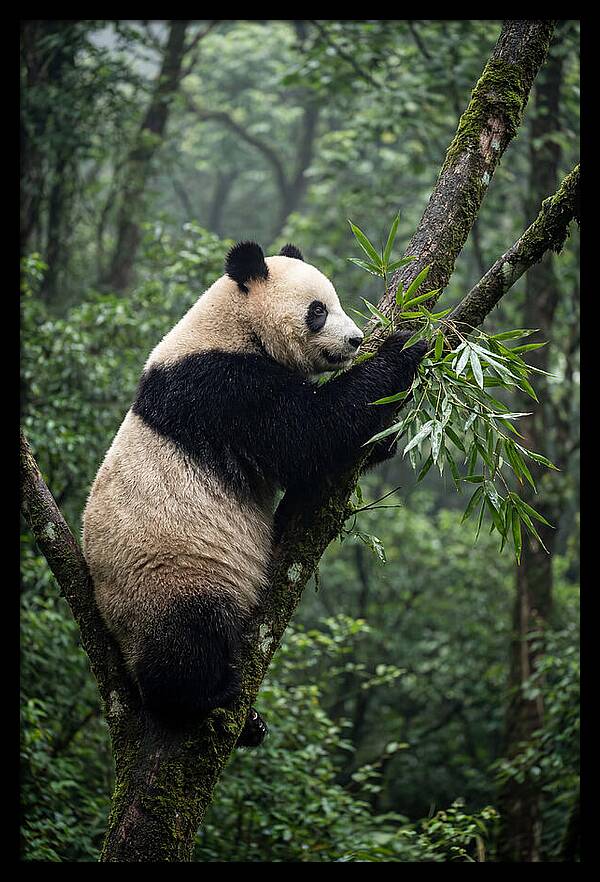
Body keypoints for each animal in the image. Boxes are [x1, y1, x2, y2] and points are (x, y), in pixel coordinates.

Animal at [82, 241, 426, 747]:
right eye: (318, 311)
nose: (355, 341)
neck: (232, 325)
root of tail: (112, 627)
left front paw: (387, 435)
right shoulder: (221, 388)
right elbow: (309, 433)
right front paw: (404, 347)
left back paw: (251, 724)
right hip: (169, 573)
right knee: (186, 639)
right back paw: (206, 696)